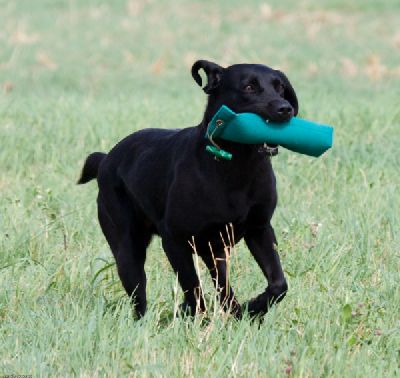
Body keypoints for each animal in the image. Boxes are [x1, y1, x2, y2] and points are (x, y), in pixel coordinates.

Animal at [78, 59, 296, 318]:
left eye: (280, 87)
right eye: (249, 87)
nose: (285, 109)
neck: (236, 167)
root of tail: (106, 159)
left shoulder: (259, 229)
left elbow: (279, 284)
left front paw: (253, 307)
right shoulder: (175, 241)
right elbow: (193, 288)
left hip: (215, 250)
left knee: (223, 287)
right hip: (127, 249)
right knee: (139, 296)